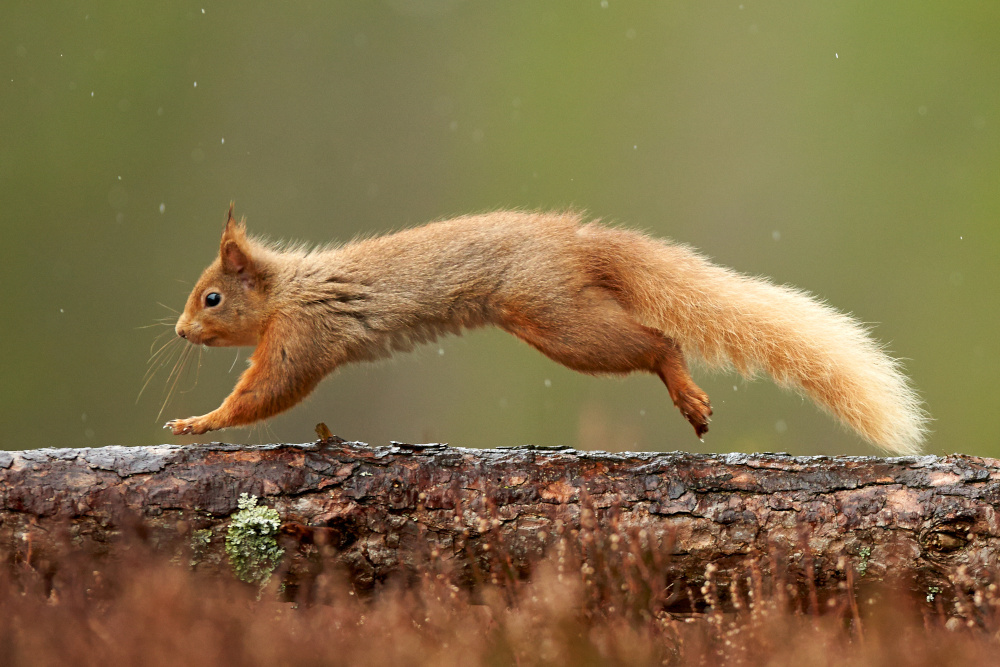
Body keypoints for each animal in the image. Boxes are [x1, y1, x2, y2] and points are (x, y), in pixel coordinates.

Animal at [164, 205, 928, 454]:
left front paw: (197, 421)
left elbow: (268, 391)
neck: (289, 286)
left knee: (660, 343)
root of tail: (580, 242)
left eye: (211, 298)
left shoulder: (304, 335)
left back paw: (688, 395)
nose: (177, 331)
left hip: (553, 316)